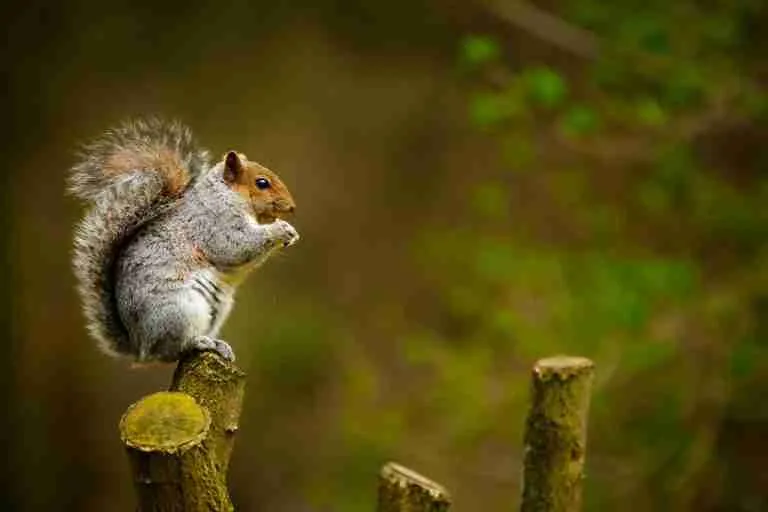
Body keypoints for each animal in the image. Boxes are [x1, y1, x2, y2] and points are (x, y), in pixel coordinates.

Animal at [69, 118, 299, 363]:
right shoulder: (215, 224)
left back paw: (219, 345)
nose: (292, 207)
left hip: (217, 311)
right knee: (173, 349)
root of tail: (140, 347)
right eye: (262, 183)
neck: (226, 195)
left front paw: (291, 233)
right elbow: (237, 245)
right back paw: (200, 342)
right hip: (180, 311)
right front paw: (280, 229)